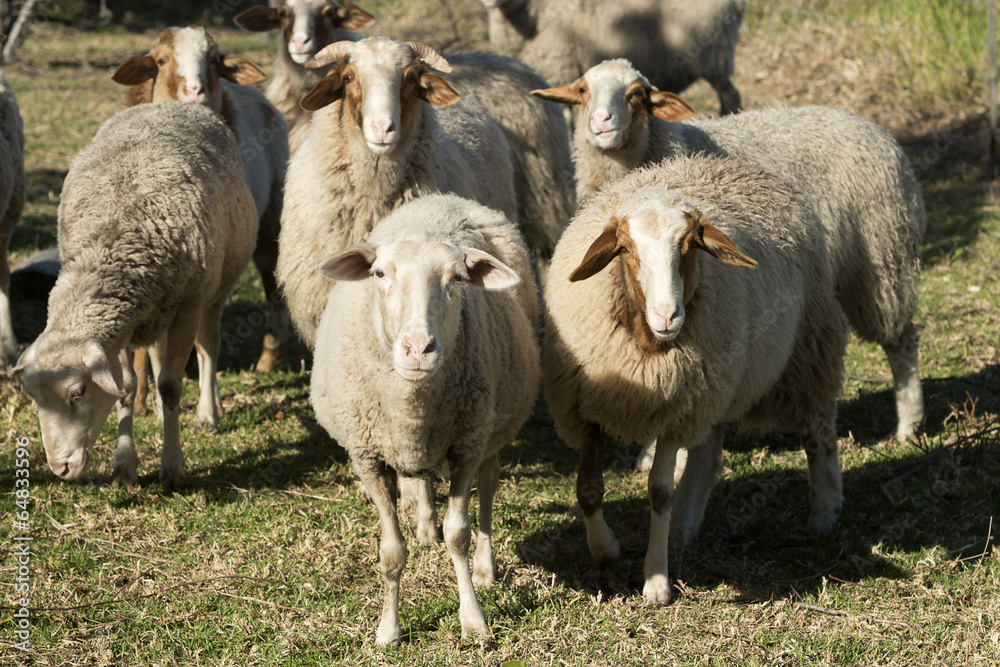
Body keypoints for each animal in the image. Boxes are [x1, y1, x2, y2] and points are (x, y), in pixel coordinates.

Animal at [13, 102, 258, 489]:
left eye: (77, 392)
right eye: (33, 396)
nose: (60, 469)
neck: (113, 241)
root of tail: (173, 104)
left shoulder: (188, 305)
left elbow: (171, 385)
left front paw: (172, 469)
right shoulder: (123, 325)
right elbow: (126, 387)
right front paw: (124, 467)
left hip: (213, 291)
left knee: (208, 349)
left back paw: (207, 412)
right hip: (159, 308)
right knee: (158, 354)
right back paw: (160, 413)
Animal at [112, 26, 291, 384]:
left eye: (214, 60)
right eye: (161, 61)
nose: (195, 91)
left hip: (270, 222)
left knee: (272, 284)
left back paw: (269, 356)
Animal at [310, 194, 540, 643]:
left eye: (457, 278)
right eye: (379, 273)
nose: (418, 348)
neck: (412, 404)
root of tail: (441, 198)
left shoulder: (466, 446)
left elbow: (459, 535)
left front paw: (474, 619)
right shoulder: (367, 456)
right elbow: (391, 552)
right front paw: (388, 630)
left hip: (492, 427)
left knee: (489, 486)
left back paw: (485, 567)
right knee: (418, 481)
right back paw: (425, 527)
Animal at [533, 58, 926, 441]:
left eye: (637, 94)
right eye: (582, 90)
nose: (603, 122)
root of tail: (872, 127)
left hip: (881, 262)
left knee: (902, 341)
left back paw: (909, 425)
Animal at [543, 156, 848, 602]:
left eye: (690, 246)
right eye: (626, 249)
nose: (668, 316)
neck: (648, 351)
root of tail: (736, 165)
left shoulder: (676, 412)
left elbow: (659, 493)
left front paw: (656, 580)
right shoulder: (589, 411)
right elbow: (589, 490)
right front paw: (606, 551)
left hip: (810, 349)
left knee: (818, 434)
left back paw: (824, 515)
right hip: (719, 384)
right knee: (706, 456)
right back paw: (684, 529)